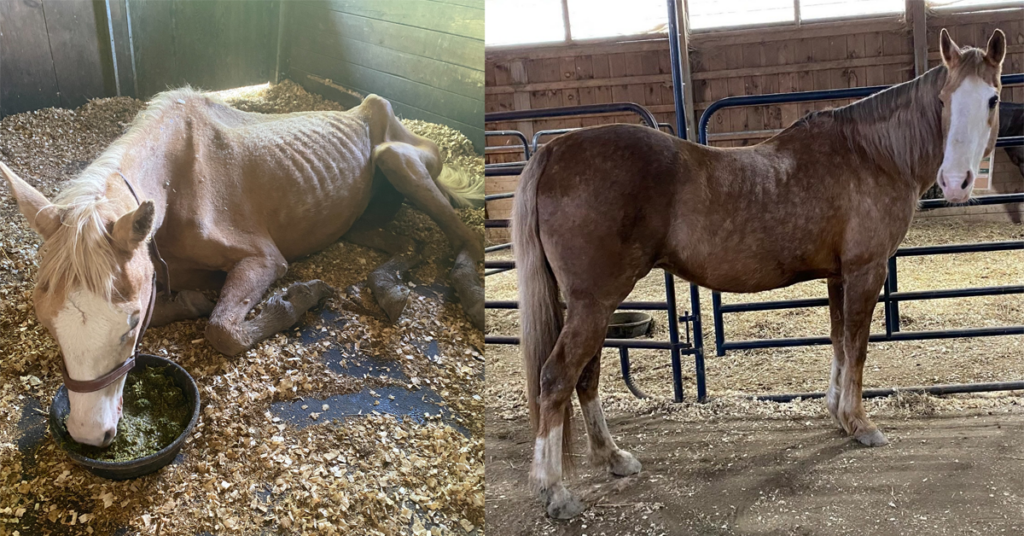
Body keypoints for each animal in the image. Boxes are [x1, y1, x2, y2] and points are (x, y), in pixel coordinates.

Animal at [1, 89, 484, 447]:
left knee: (466, 239)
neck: (179, 177)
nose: (88, 433)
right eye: (47, 322)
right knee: (412, 243)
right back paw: (389, 288)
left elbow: (223, 331)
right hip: (360, 220)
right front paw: (196, 300)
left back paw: (472, 298)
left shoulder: (264, 258)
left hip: (398, 162)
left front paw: (300, 296)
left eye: (129, 323)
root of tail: (373, 109)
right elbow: (191, 304)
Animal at [512, 29, 1006, 518]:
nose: (957, 182)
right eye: (943, 99)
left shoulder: (838, 277)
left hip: (591, 303)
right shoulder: (865, 271)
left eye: (992, 99)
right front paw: (860, 424)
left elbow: (838, 343)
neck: (870, 154)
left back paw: (613, 457)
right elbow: (858, 347)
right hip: (594, 303)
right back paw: (555, 491)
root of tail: (553, 150)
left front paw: (837, 414)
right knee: (556, 377)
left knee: (586, 377)